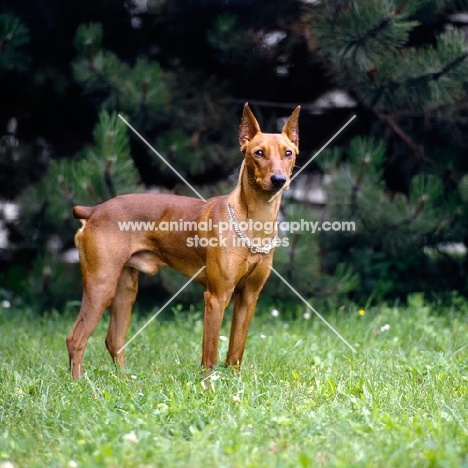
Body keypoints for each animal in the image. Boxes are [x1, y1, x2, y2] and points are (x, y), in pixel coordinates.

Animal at [66, 104, 300, 378]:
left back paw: (126, 380)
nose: (279, 180)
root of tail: (94, 210)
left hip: (125, 290)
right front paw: (209, 383)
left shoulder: (249, 296)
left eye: (288, 153)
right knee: (76, 339)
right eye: (259, 153)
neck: (254, 222)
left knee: (113, 340)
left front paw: (235, 381)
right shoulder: (216, 297)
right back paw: (78, 383)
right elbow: (209, 353)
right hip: (101, 285)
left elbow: (235, 351)